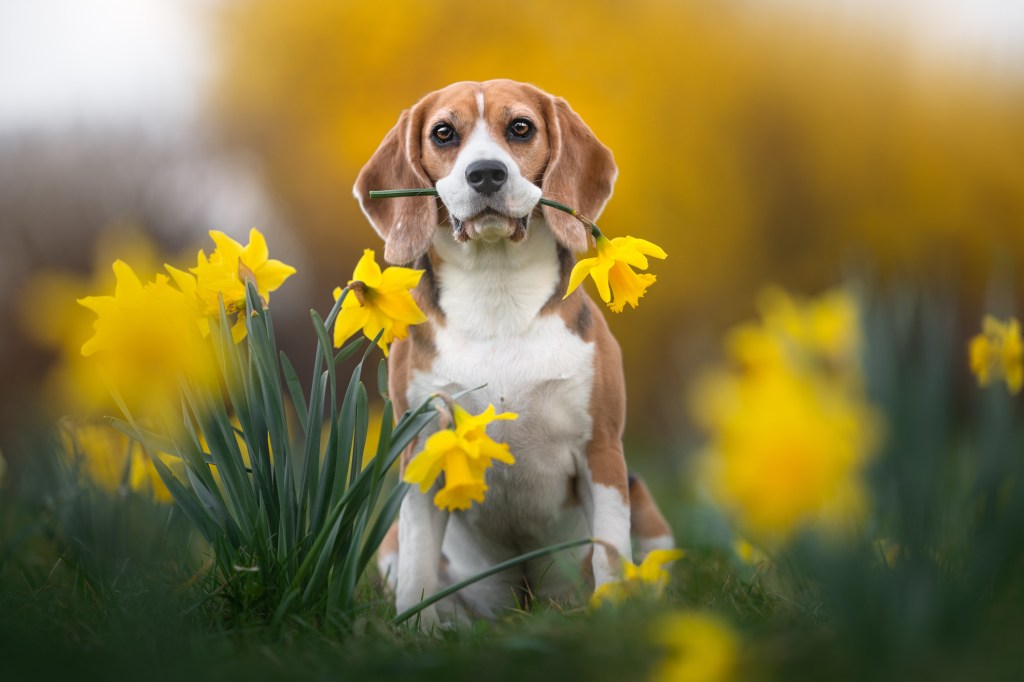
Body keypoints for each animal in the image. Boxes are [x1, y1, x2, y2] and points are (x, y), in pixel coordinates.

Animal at [356, 78, 675, 622]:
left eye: (521, 127)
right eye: (443, 133)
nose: (486, 172)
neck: (496, 290)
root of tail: (525, 597)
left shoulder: (601, 452)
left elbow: (611, 552)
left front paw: (612, 615)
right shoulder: (423, 452)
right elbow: (418, 569)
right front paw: (416, 629)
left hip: (647, 510)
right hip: (392, 542)